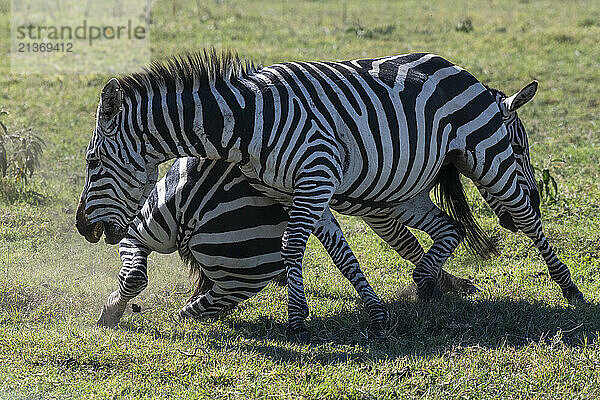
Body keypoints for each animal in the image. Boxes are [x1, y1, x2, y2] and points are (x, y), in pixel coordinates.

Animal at [96, 156, 476, 328]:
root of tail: (195, 201)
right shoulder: (372, 206)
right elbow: (402, 243)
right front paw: (444, 283)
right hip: (245, 273)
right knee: (191, 307)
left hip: (151, 223)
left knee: (138, 270)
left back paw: (112, 312)